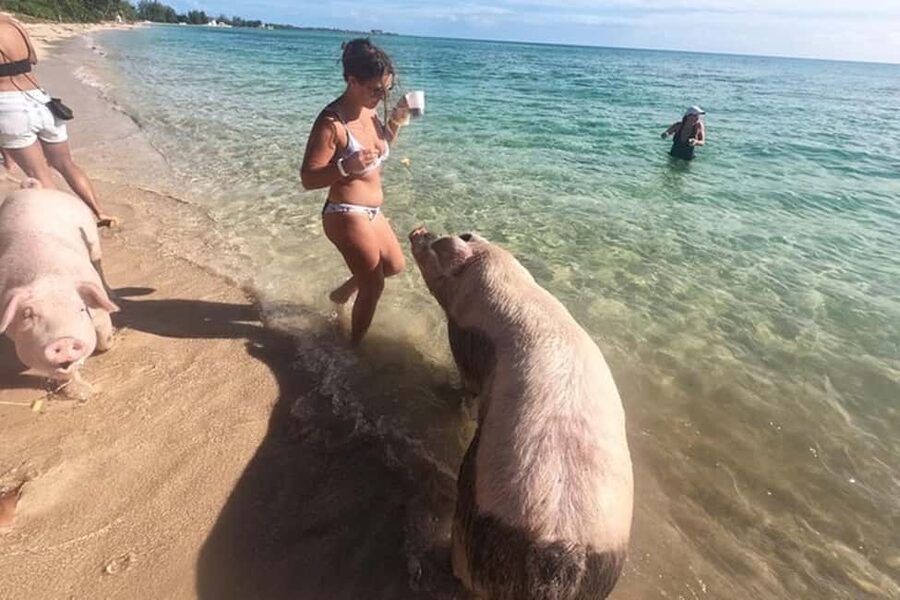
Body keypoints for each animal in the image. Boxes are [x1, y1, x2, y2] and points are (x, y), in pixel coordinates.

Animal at [0, 182, 118, 387]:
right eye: (27, 315)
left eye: (81, 309)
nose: (63, 341)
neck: (47, 277)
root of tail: (37, 188)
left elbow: (103, 332)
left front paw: (111, 338)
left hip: (92, 239)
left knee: (98, 262)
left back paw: (112, 294)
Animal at [409, 227, 633, 600]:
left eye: (436, 244)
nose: (419, 231)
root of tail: (561, 550)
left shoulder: (464, 342)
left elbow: (467, 385)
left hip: (478, 514)